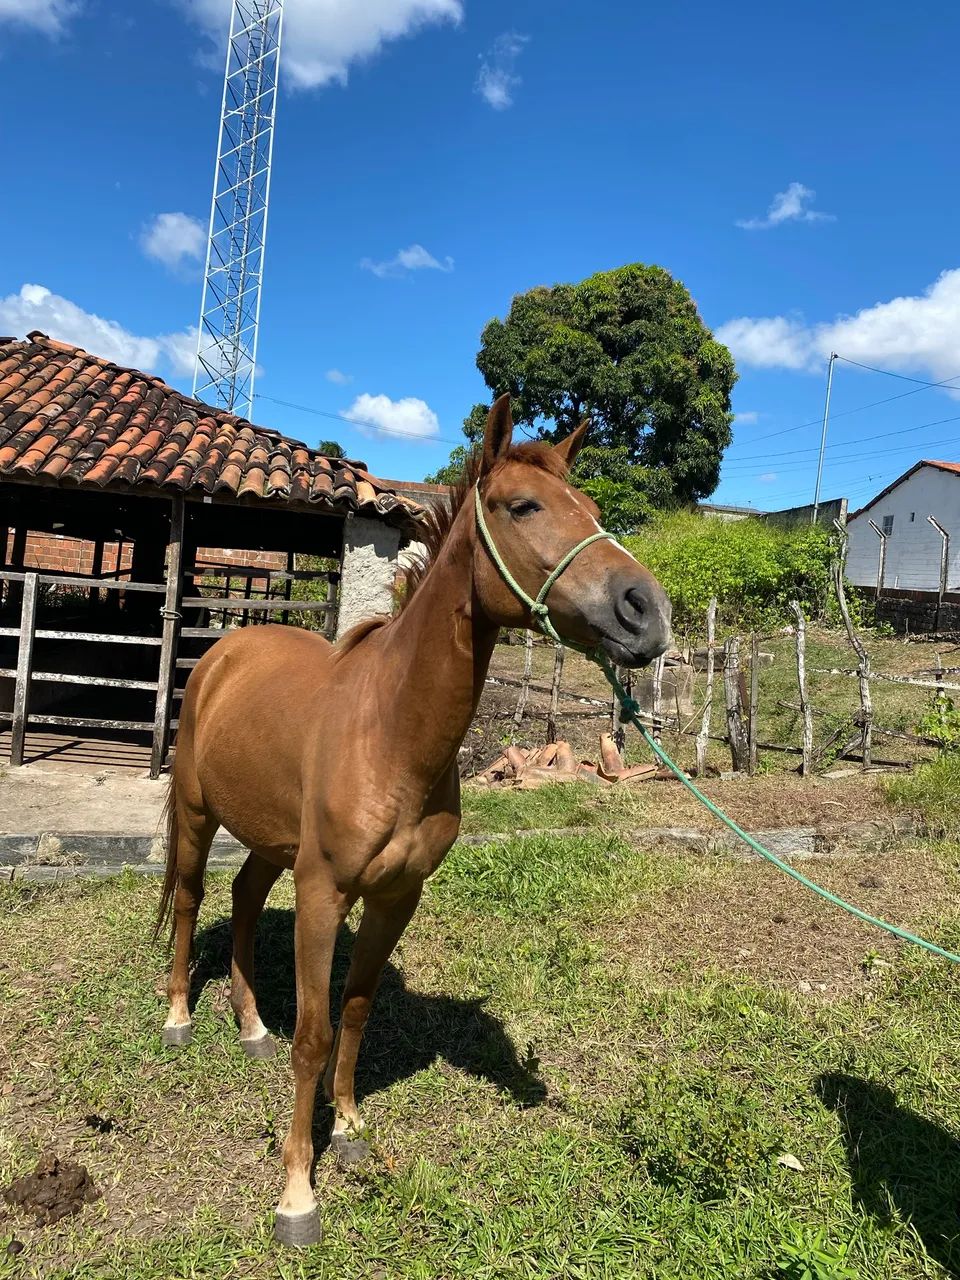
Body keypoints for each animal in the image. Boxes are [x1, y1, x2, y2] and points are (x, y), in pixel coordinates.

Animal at [155, 395, 672, 1245]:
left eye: (594, 511)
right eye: (522, 506)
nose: (647, 612)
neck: (389, 731)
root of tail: (225, 652)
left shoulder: (397, 897)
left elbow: (356, 1012)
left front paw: (349, 1130)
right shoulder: (325, 893)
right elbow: (314, 1034)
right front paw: (297, 1193)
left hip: (273, 842)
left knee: (244, 898)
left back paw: (250, 1025)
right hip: (199, 819)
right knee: (194, 900)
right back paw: (179, 1019)